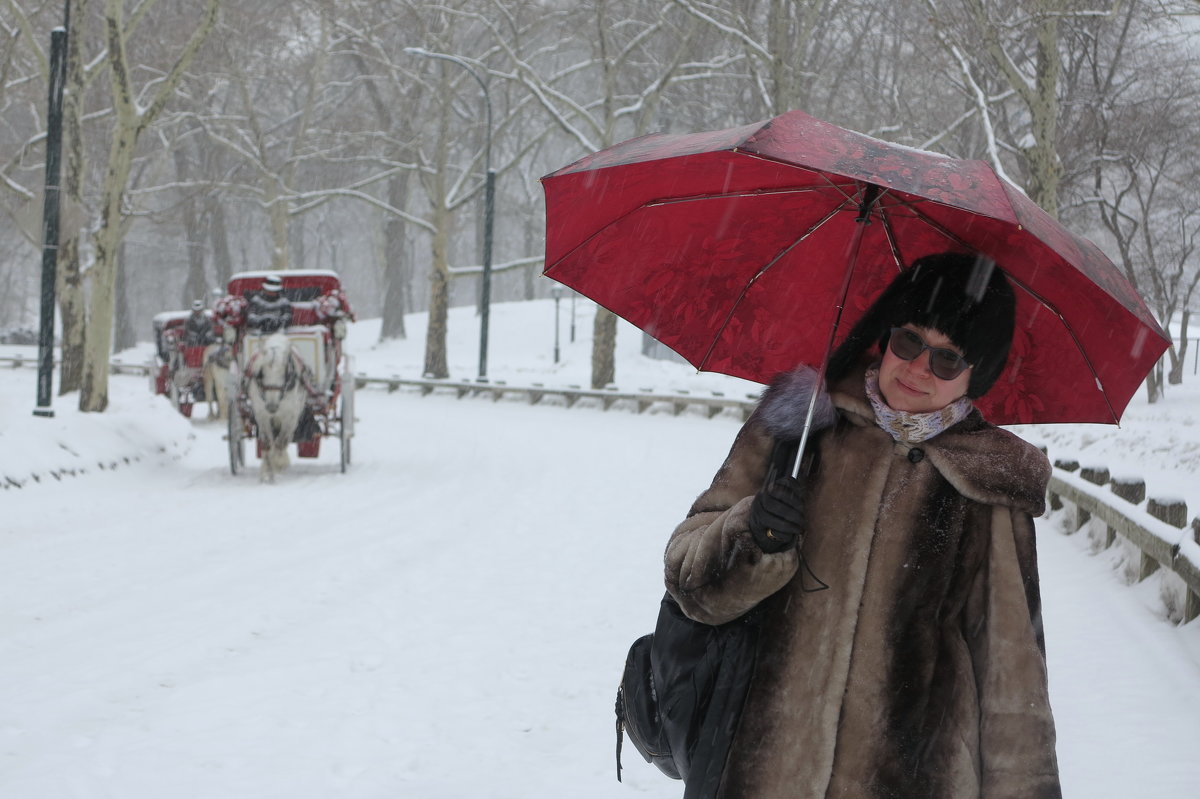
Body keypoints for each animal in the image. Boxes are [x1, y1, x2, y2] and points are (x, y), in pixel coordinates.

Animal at [242, 333, 307, 482]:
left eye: (284, 373)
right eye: (261, 373)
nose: (271, 406)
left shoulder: (290, 415)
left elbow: (281, 442)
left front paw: (278, 464)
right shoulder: (261, 414)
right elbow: (266, 442)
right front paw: (267, 471)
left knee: (283, 440)